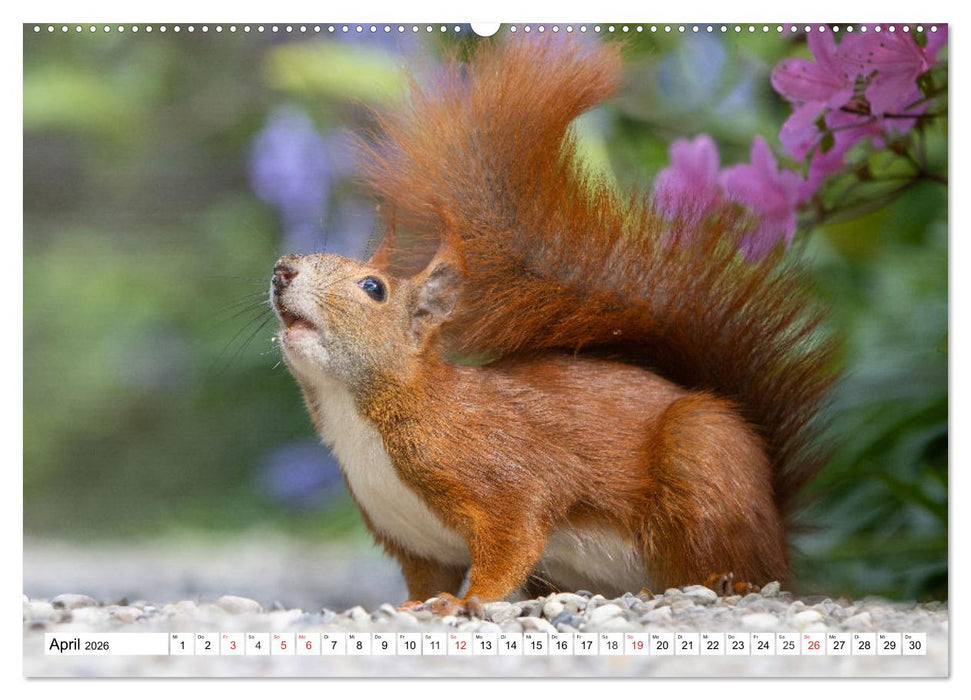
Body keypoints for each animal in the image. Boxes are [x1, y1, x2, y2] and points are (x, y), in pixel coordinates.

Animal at [270, 36, 837, 613]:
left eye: (373, 288)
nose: (281, 270)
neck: (359, 413)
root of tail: (775, 526)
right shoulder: (411, 539)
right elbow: (425, 580)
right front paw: (412, 607)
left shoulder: (503, 475)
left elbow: (510, 541)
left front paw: (466, 602)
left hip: (703, 460)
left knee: (737, 564)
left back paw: (724, 583)